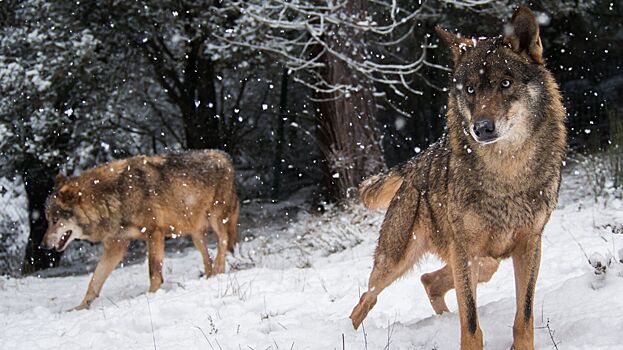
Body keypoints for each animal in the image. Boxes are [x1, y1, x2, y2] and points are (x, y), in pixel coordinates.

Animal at [42, 149, 240, 310]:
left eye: (55, 220)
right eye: (47, 221)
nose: (43, 246)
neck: (115, 197)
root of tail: (226, 157)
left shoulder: (154, 233)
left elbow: (154, 272)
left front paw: (151, 295)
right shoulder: (116, 246)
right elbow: (94, 281)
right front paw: (80, 307)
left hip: (216, 219)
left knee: (223, 241)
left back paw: (219, 269)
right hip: (195, 234)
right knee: (207, 257)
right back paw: (209, 276)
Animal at [348, 6, 568, 350]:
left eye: (505, 83)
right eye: (470, 89)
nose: (482, 128)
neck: (506, 172)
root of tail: (415, 163)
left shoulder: (531, 243)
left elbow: (525, 316)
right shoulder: (465, 249)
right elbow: (472, 323)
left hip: (483, 261)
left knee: (429, 280)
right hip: (398, 261)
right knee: (365, 300)